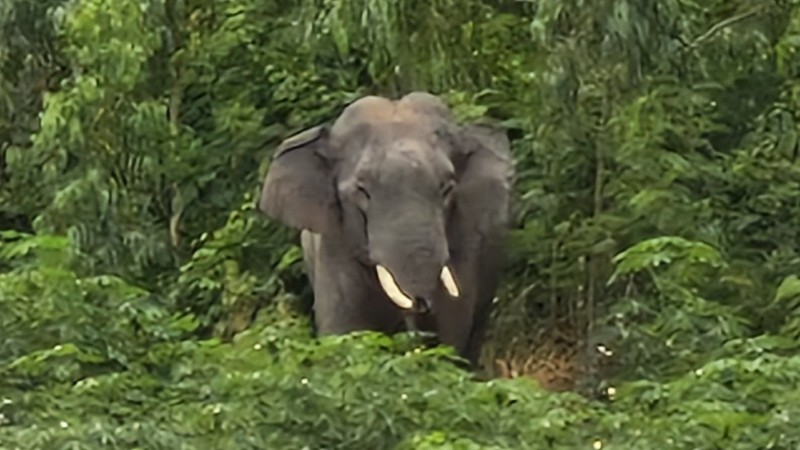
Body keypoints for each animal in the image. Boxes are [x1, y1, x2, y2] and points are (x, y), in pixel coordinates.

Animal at [260, 90, 516, 366]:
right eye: (362, 190)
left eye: (448, 188)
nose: (421, 304)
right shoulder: (333, 245)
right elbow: (344, 332)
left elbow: (454, 330)